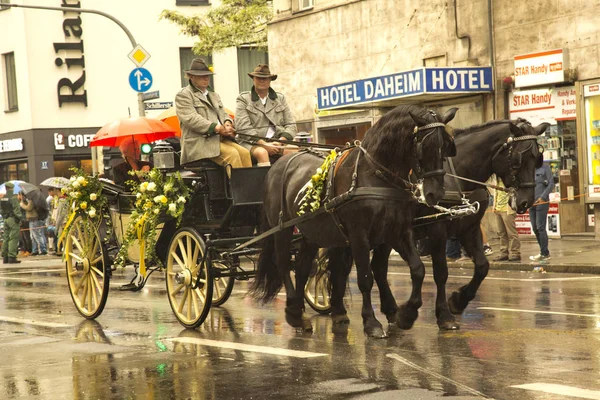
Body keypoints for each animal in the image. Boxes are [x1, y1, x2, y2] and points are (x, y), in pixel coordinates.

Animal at [251, 104, 458, 336]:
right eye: (424, 146)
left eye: (447, 146)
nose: (435, 194)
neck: (377, 174)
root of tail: (279, 164)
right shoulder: (359, 235)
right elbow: (365, 277)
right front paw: (371, 322)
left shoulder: (397, 231)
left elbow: (418, 269)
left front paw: (407, 315)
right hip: (282, 229)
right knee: (284, 264)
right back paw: (295, 313)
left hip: (313, 232)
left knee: (304, 268)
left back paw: (299, 313)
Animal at [360, 119, 548, 332]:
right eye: (517, 159)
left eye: (537, 159)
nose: (526, 202)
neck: (457, 176)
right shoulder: (437, 232)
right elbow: (441, 273)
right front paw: (443, 315)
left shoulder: (469, 229)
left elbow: (482, 267)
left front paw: (458, 300)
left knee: (378, 267)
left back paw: (391, 310)